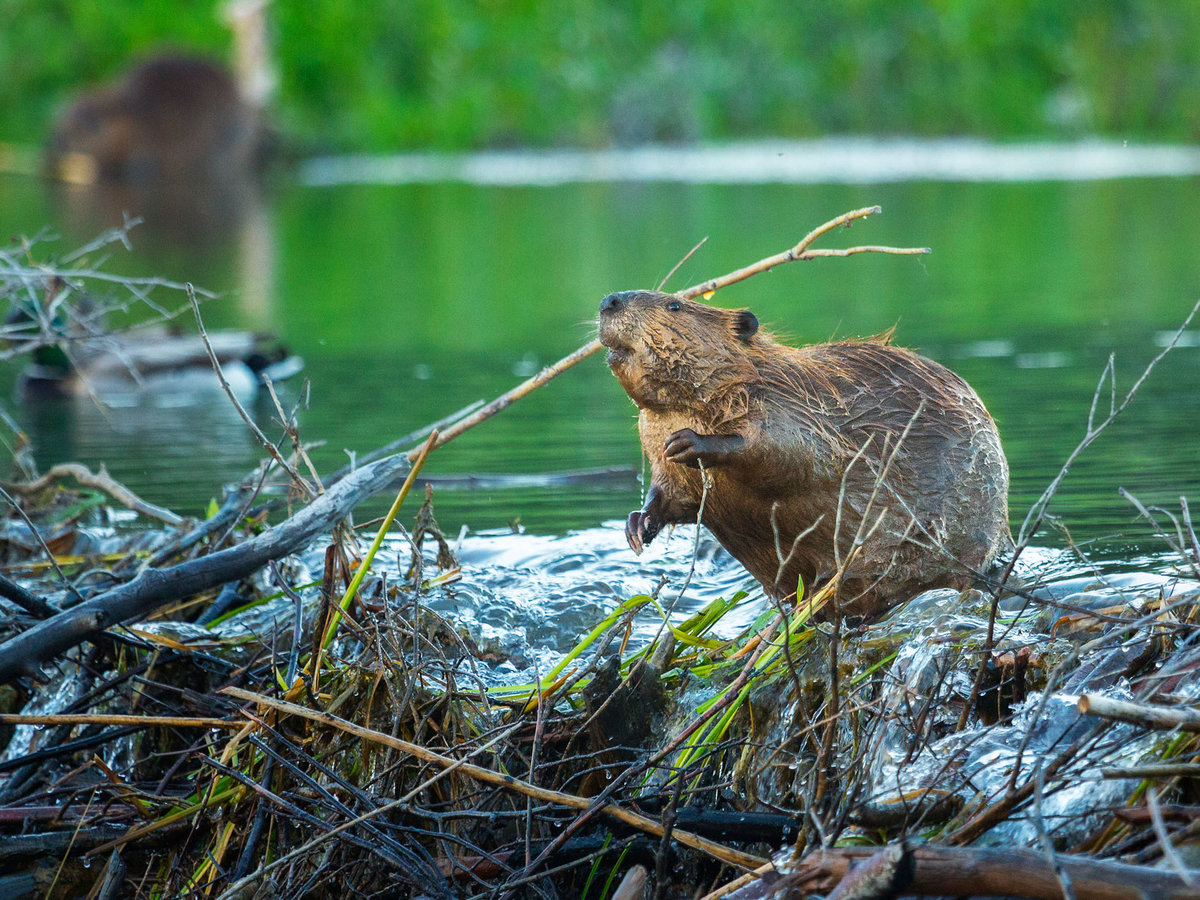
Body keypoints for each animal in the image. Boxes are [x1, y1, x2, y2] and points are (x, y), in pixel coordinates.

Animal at [600, 290, 1012, 619]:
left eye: (675, 305)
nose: (610, 301)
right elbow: (672, 495)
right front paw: (637, 526)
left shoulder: (789, 404)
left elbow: (789, 453)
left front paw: (689, 442)